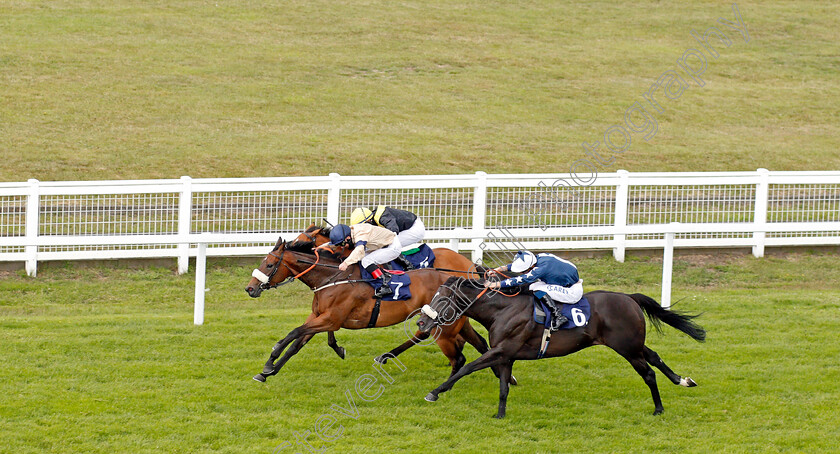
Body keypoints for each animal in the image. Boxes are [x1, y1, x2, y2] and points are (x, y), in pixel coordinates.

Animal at [246, 238, 502, 384]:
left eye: (269, 264)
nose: (250, 288)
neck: (333, 277)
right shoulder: (319, 316)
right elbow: (297, 344)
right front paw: (267, 372)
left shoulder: (331, 319)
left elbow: (293, 334)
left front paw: (270, 362)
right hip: (455, 322)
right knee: (478, 343)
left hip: (444, 326)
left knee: (448, 347)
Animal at [416, 276, 704, 418]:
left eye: (442, 299)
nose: (421, 321)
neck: (503, 310)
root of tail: (629, 298)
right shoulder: (506, 355)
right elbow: (503, 387)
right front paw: (500, 415)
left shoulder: (501, 351)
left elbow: (469, 368)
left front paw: (435, 392)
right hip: (633, 344)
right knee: (655, 357)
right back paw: (683, 380)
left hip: (627, 349)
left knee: (649, 373)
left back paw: (658, 409)